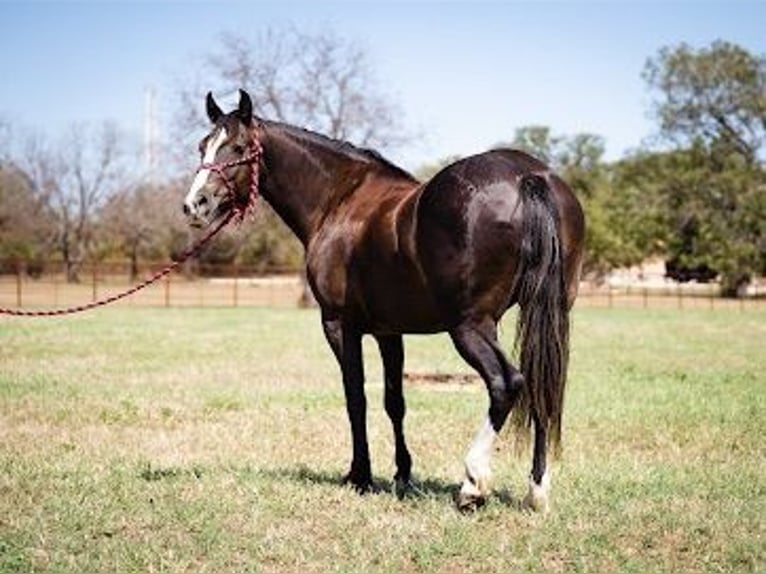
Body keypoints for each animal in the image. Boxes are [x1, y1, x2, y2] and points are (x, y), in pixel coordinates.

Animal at [183, 90, 584, 512]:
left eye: (239, 148)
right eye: (203, 146)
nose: (196, 204)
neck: (339, 199)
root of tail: (527, 177)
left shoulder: (340, 325)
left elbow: (355, 397)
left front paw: (360, 475)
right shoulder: (389, 332)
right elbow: (395, 400)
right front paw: (402, 473)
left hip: (470, 326)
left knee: (506, 383)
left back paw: (473, 483)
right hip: (545, 314)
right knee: (541, 384)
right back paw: (537, 490)